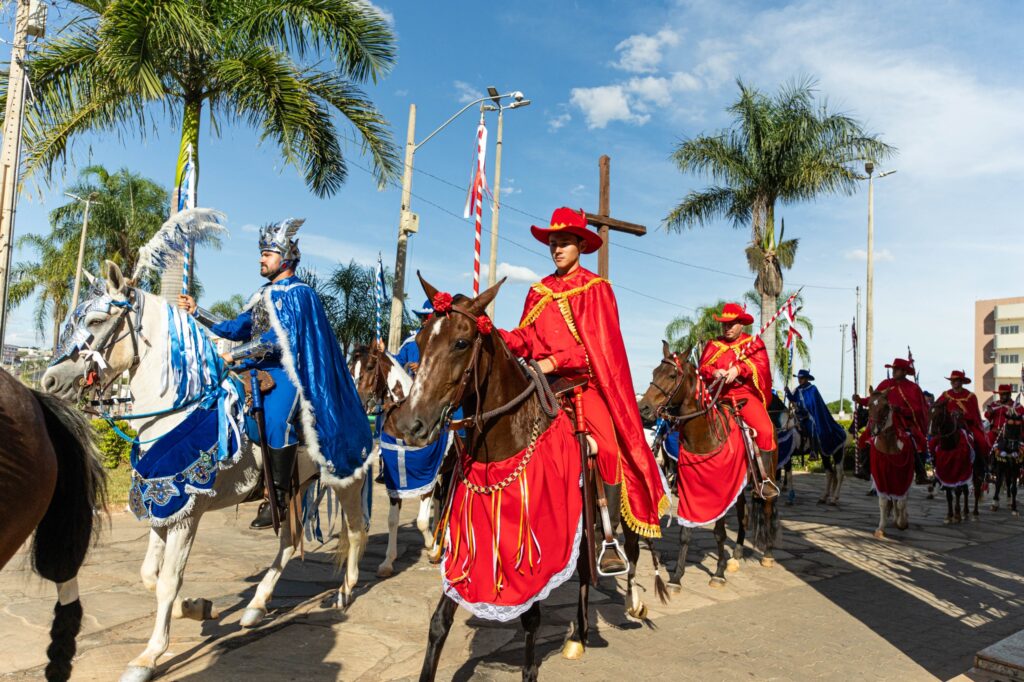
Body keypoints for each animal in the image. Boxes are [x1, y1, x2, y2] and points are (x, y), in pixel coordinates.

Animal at [46, 261, 372, 679]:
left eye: (97, 320)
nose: (50, 380)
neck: (180, 407)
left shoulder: (188, 512)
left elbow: (168, 581)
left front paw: (149, 656)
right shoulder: (163, 502)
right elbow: (149, 574)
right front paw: (195, 607)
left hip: (347, 480)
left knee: (356, 530)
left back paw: (345, 591)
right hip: (295, 489)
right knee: (289, 542)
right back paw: (257, 606)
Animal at [387, 274, 659, 679]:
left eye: (461, 342)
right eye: (419, 342)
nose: (409, 424)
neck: (505, 445)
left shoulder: (541, 545)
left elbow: (531, 617)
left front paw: (530, 670)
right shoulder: (473, 542)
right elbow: (440, 621)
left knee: (627, 554)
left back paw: (629, 605)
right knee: (583, 572)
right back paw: (578, 636)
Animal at [634, 339, 778, 577]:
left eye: (672, 375)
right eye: (654, 372)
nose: (643, 409)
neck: (706, 437)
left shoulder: (721, 491)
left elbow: (719, 532)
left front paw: (718, 574)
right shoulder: (690, 488)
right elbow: (685, 532)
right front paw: (677, 576)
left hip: (767, 476)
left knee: (767, 508)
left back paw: (767, 554)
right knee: (744, 516)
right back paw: (736, 555)